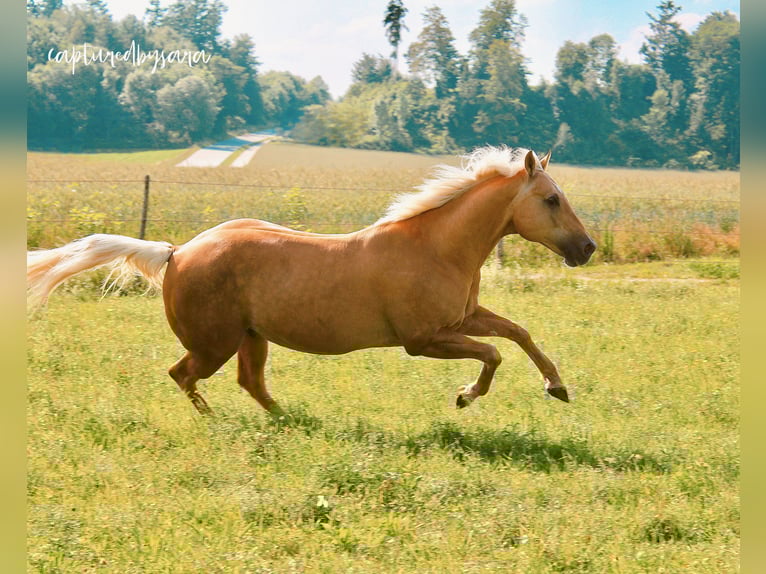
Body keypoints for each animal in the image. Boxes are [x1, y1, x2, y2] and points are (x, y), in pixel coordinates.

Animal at [27, 147, 595, 415]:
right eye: (551, 199)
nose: (587, 248)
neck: (435, 248)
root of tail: (177, 251)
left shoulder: (464, 318)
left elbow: (518, 333)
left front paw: (558, 387)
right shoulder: (424, 339)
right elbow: (493, 354)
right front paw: (464, 396)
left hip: (251, 338)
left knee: (250, 383)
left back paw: (290, 420)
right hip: (214, 343)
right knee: (183, 375)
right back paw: (217, 421)